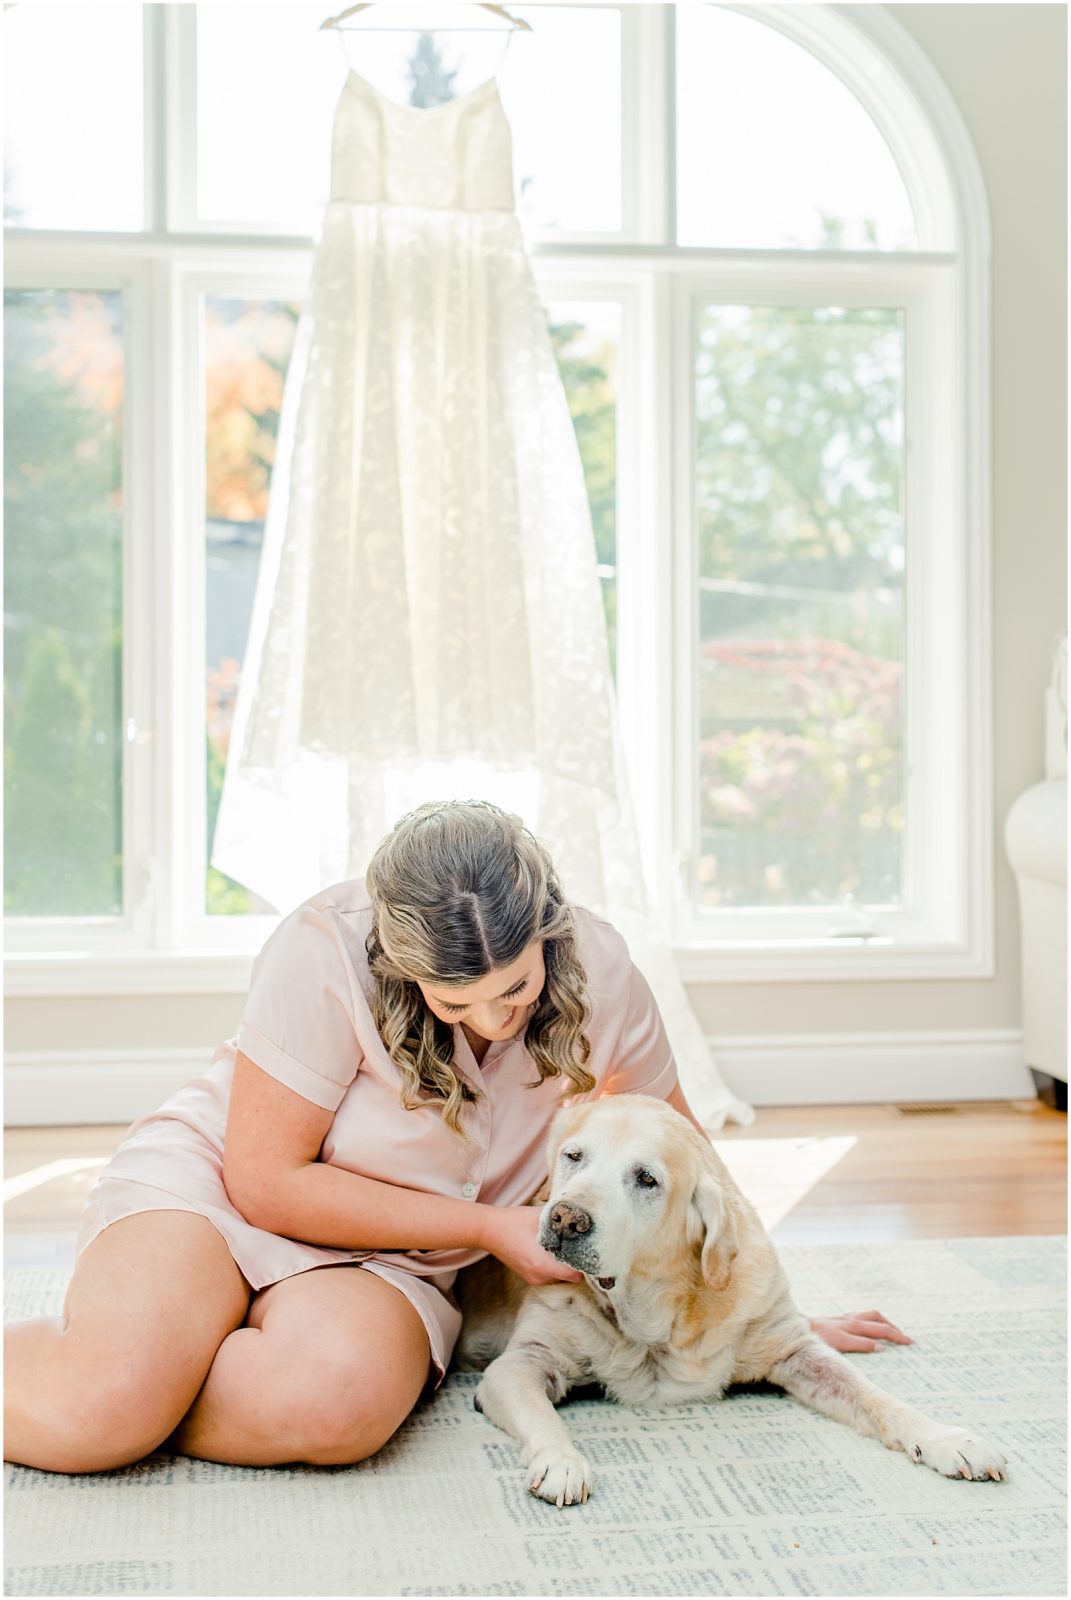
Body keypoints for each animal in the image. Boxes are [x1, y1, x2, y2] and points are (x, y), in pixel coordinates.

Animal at [454, 1094, 1005, 1504]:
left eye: (646, 1179)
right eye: (574, 1157)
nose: (565, 1219)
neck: (655, 1319)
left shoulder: (794, 1348)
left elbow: (880, 1399)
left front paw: (946, 1439)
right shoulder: (520, 1364)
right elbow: (545, 1419)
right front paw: (562, 1462)